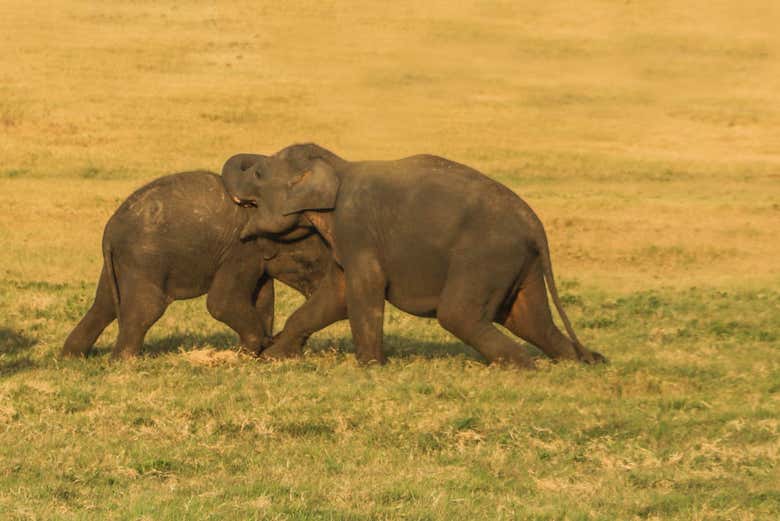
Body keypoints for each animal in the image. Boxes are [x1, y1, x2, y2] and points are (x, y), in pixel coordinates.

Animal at [62, 168, 332, 359]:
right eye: (308, 263)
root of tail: (109, 231)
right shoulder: (241, 250)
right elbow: (221, 302)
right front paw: (254, 350)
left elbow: (263, 297)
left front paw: (256, 351)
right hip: (143, 258)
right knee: (147, 307)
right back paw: (123, 361)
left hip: (121, 262)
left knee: (103, 304)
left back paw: (71, 357)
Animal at [221, 143, 606, 368]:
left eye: (258, 173)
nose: (262, 348)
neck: (337, 165)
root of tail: (535, 224)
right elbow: (334, 295)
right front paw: (273, 357)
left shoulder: (356, 227)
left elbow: (363, 290)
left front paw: (370, 367)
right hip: (519, 263)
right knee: (530, 319)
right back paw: (570, 362)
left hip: (485, 257)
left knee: (459, 314)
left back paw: (521, 365)